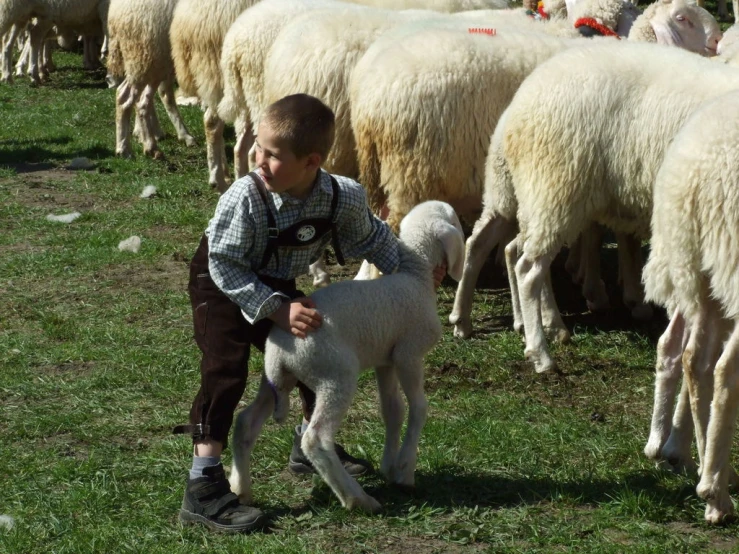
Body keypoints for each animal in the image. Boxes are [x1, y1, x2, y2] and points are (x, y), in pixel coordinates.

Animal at [228, 201, 466, 512]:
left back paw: (240, 488)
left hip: (276, 381)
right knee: (315, 439)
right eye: (456, 219)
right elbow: (418, 408)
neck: (417, 275)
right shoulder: (409, 354)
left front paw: (390, 466)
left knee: (245, 421)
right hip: (335, 374)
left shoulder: (385, 359)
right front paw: (405, 470)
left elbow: (393, 410)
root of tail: (279, 353)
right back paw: (357, 499)